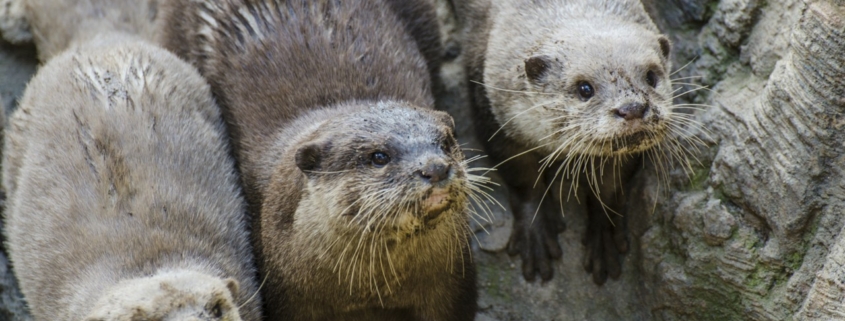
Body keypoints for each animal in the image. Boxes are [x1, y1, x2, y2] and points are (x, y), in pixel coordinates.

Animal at [454, 0, 684, 282]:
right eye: (584, 89)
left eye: (651, 77)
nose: (632, 108)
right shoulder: (490, 109)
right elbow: (521, 176)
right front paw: (535, 232)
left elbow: (609, 187)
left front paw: (603, 238)